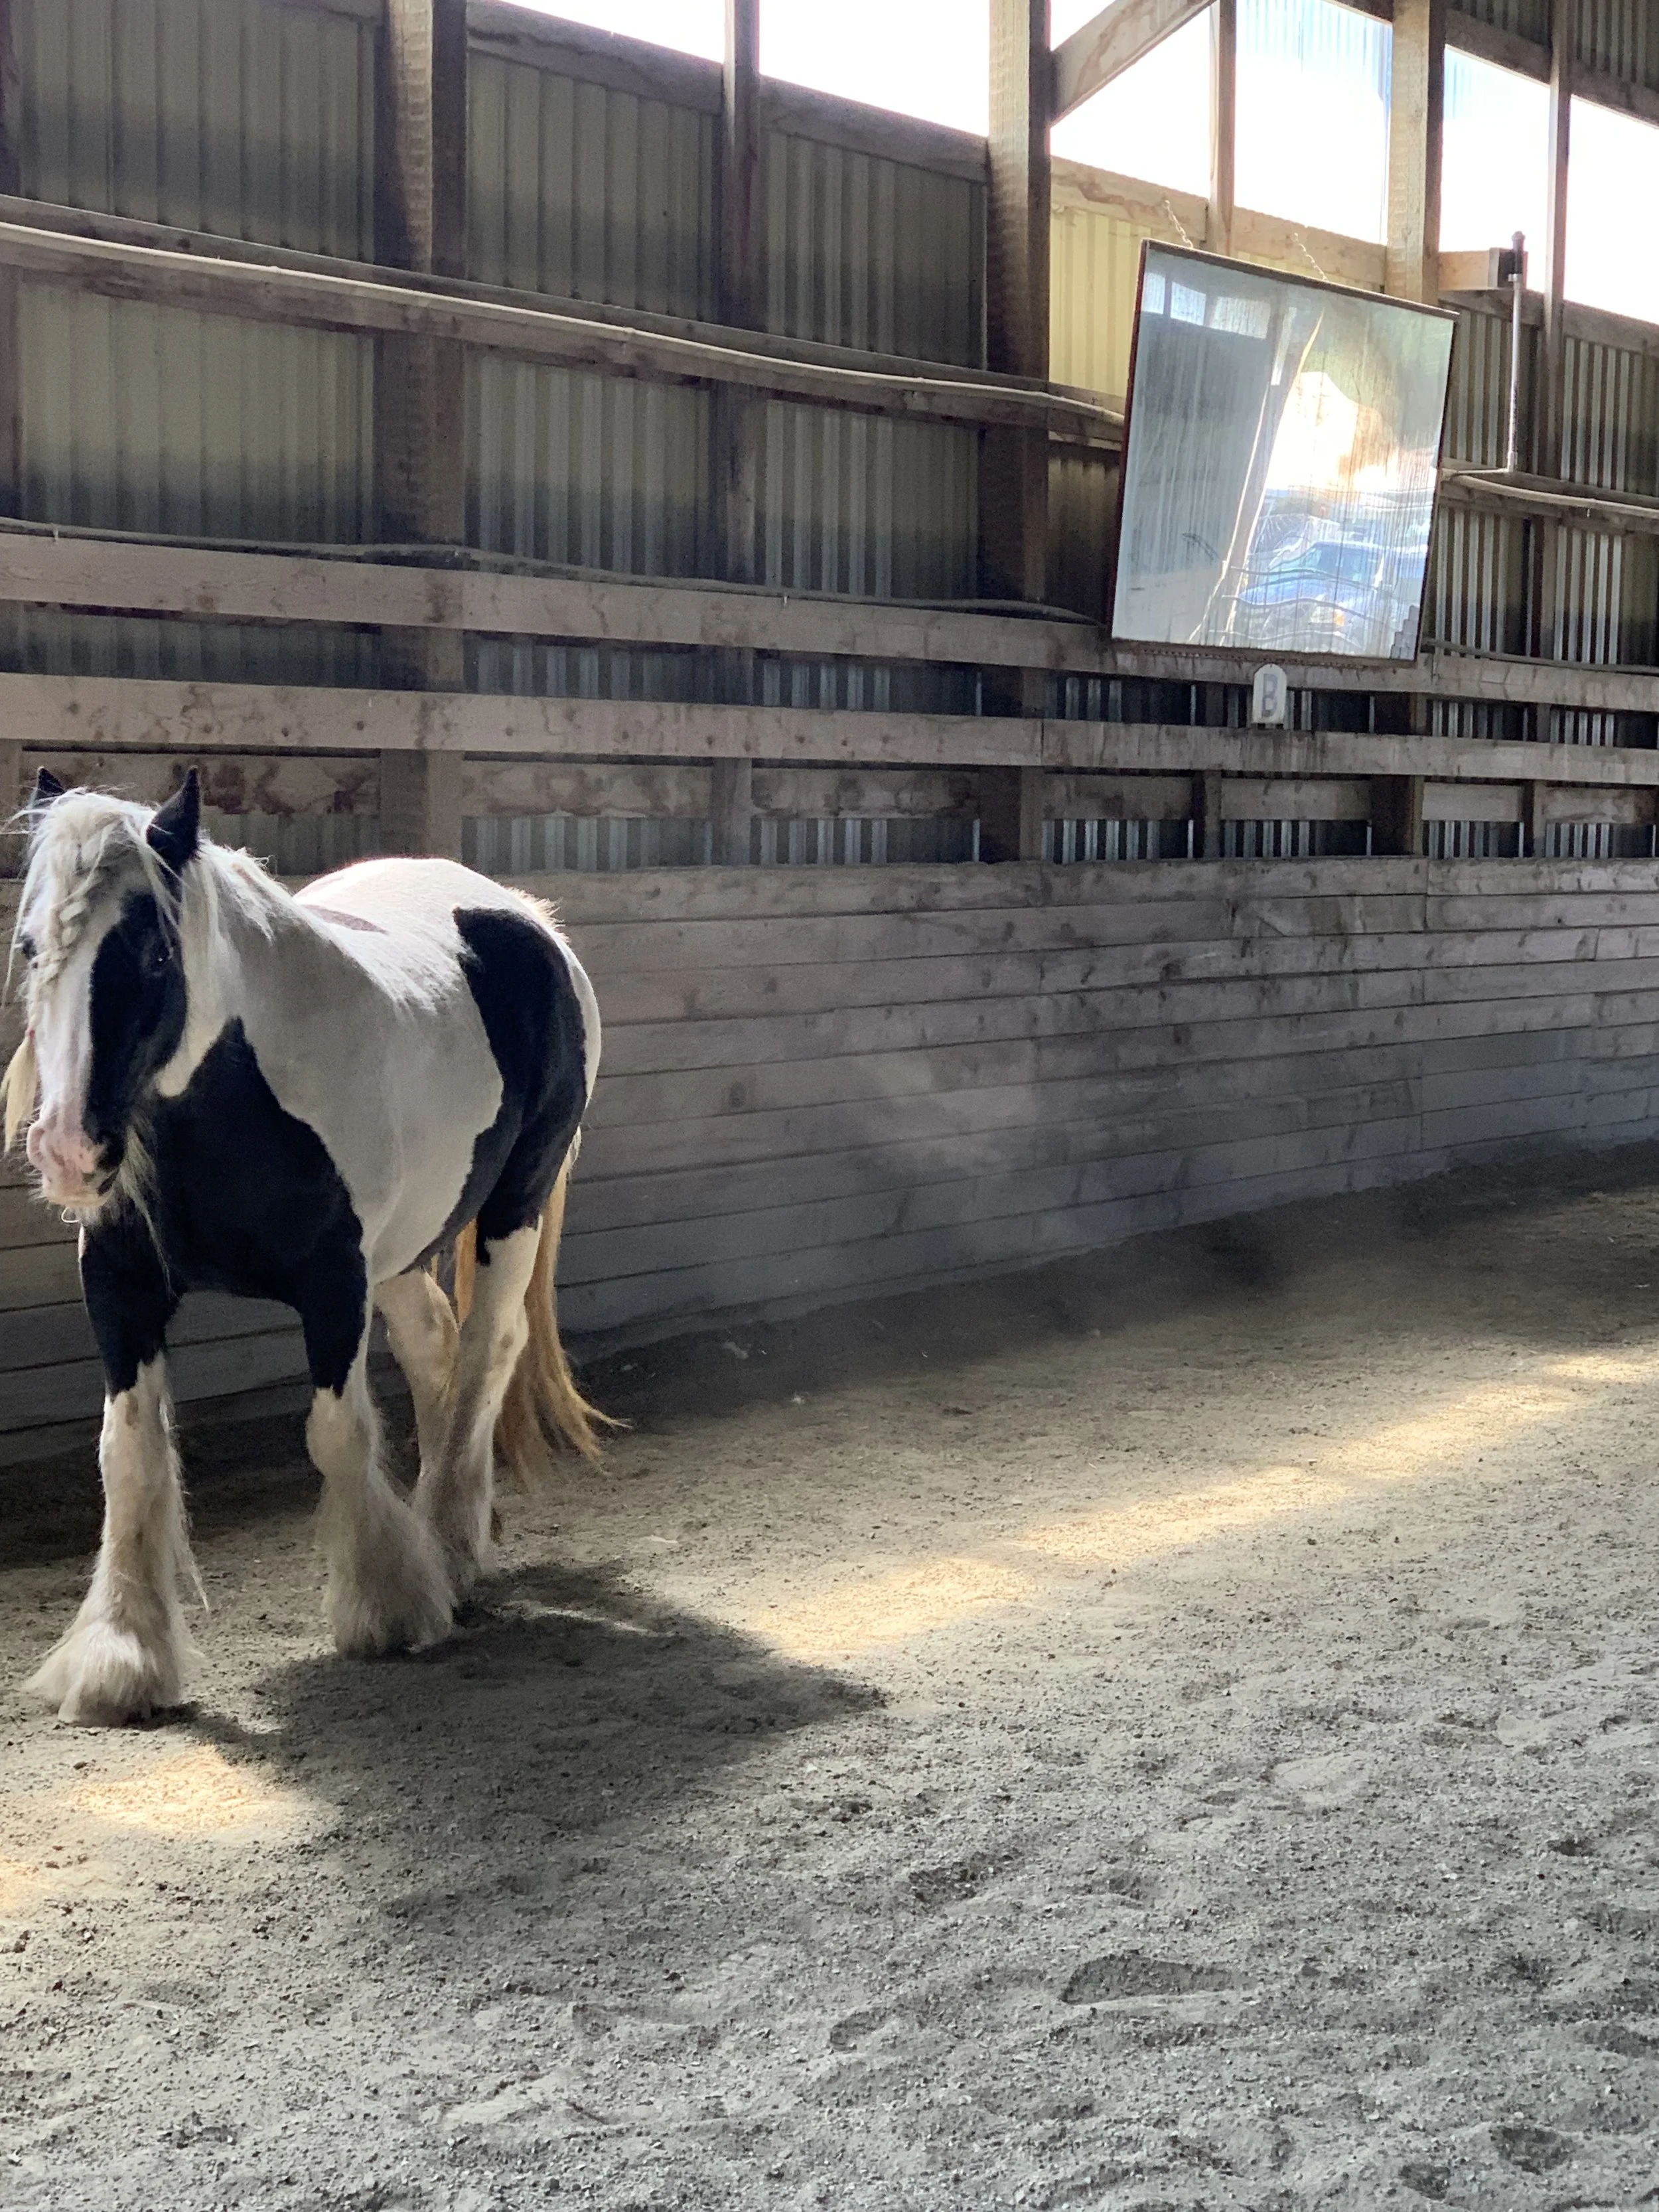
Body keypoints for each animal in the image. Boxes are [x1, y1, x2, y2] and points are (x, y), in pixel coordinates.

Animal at [6, 767, 607, 1725]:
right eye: (32, 948)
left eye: (154, 956)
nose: (66, 1151)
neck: (237, 1094)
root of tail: (524, 917)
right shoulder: (121, 1285)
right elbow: (127, 1456)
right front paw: (120, 1659)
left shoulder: (333, 1284)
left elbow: (336, 1432)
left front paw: (389, 1606)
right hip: (405, 1246)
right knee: (436, 1344)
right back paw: (456, 1528)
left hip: (512, 1204)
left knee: (486, 1350)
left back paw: (449, 1544)